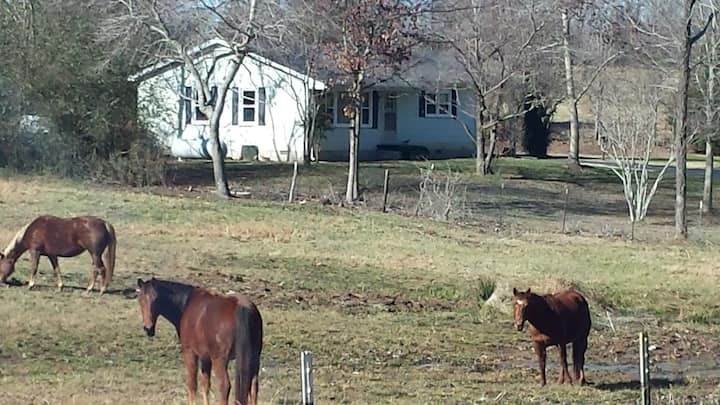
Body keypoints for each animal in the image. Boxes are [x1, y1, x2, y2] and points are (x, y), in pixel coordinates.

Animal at [136, 276, 262, 404]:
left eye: (156, 299)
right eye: (140, 300)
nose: (148, 328)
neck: (186, 303)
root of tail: (241, 306)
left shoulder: (190, 353)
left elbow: (192, 385)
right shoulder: (205, 357)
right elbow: (205, 386)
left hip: (220, 361)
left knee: (224, 386)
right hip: (254, 359)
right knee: (253, 387)